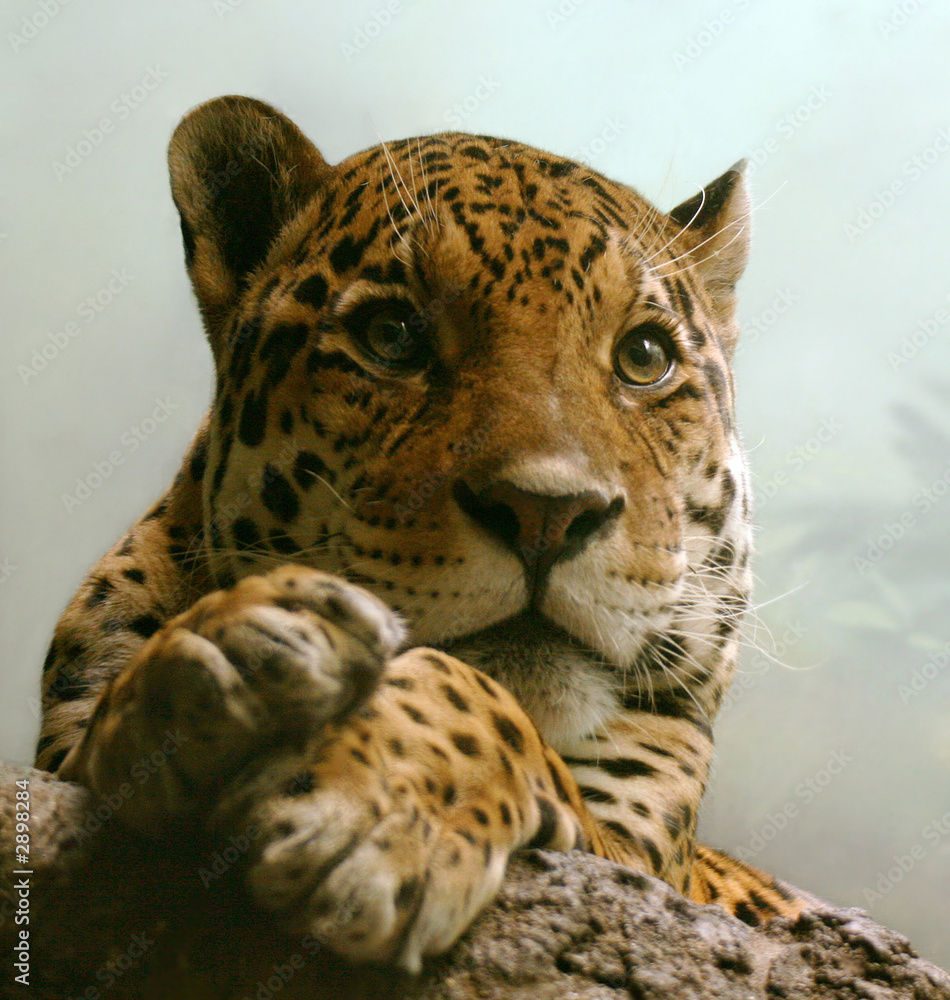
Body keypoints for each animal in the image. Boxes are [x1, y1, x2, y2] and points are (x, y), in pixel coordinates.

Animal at [34, 95, 817, 972]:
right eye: (393, 335)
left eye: (644, 356)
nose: (547, 513)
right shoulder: (61, 760)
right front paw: (221, 658)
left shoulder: (640, 860)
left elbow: (488, 704)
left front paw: (376, 804)